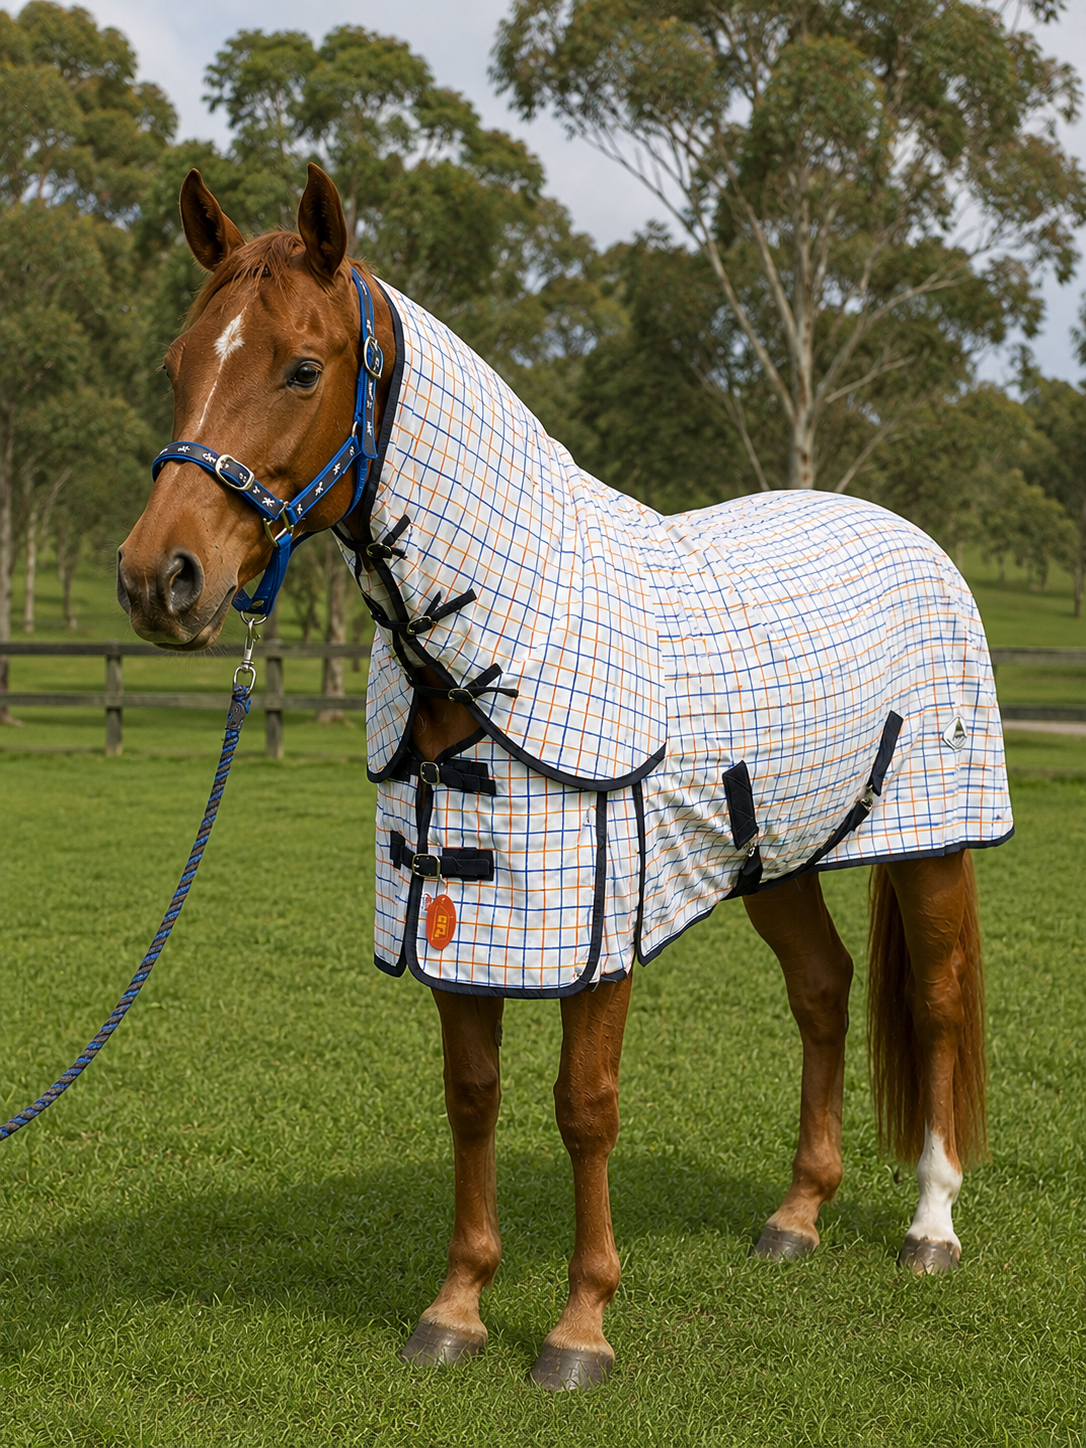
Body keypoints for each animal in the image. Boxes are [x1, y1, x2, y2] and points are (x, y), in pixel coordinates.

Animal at [118, 163, 1011, 1392]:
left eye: (300, 366)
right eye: (177, 363)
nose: (159, 578)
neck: (493, 648)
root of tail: (907, 533)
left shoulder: (597, 923)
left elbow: (584, 1108)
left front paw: (581, 1325)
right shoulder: (457, 930)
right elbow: (472, 1101)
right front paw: (456, 1309)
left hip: (928, 842)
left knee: (935, 1003)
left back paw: (930, 1225)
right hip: (774, 851)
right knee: (823, 991)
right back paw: (796, 1215)